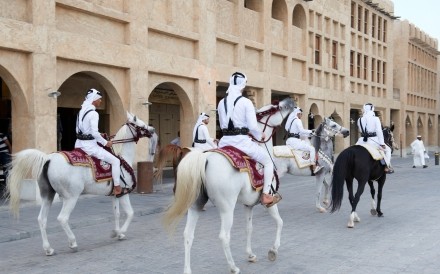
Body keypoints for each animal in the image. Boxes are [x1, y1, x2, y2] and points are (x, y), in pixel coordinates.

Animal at [6, 111, 156, 255]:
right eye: (140, 124)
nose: (152, 129)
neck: (121, 158)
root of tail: (48, 158)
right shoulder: (124, 193)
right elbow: (130, 213)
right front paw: (120, 232)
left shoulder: (115, 195)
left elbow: (117, 213)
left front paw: (116, 233)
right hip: (71, 197)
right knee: (62, 218)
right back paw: (73, 243)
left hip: (48, 195)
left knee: (41, 219)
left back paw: (48, 249)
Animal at [162, 97, 296, 274]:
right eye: (274, 107)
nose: (290, 101)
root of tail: (204, 159)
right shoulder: (270, 202)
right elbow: (280, 222)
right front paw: (273, 250)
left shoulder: (248, 205)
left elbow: (249, 228)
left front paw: (250, 254)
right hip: (226, 207)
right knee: (224, 236)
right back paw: (233, 267)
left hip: (196, 204)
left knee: (188, 235)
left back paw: (187, 270)